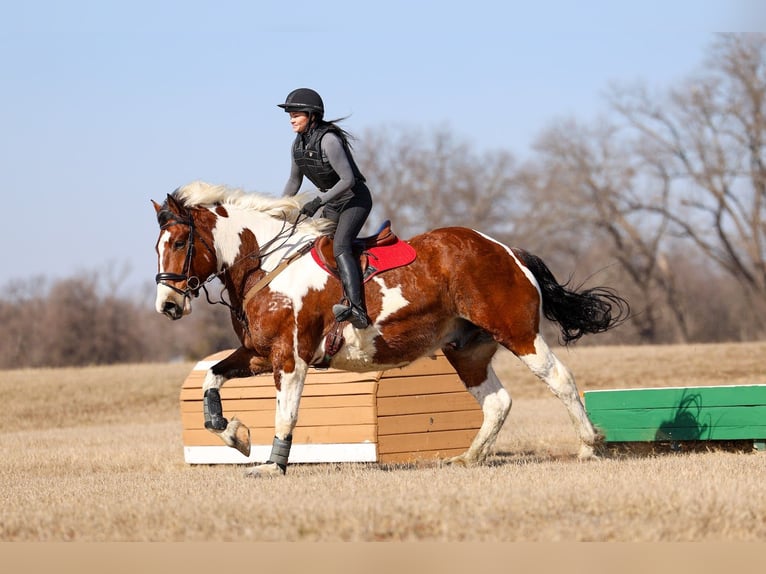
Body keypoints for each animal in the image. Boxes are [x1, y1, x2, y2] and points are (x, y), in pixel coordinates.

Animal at [153, 181, 630, 477]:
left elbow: (286, 412)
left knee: (559, 379)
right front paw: (235, 435)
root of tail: (506, 249)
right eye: (158, 246)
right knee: (498, 402)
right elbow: (211, 380)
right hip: (466, 348)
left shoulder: (291, 358)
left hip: (517, 332)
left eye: (180, 242)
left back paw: (590, 445)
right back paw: (467, 458)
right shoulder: (257, 354)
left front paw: (273, 465)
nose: (168, 306)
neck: (266, 265)